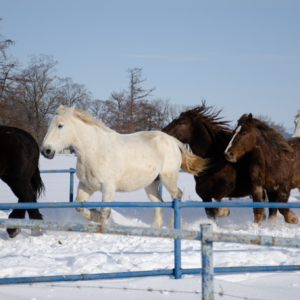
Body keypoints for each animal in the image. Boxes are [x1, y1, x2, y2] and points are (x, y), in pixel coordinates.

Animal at [41, 105, 207, 227]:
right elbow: (78, 206)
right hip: (151, 185)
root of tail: (173, 141)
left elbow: (105, 212)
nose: (46, 151)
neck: (94, 149)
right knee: (158, 204)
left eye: (60, 126)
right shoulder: (86, 185)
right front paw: (94, 215)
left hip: (168, 179)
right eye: (49, 125)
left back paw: (174, 224)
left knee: (176, 196)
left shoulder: (108, 188)